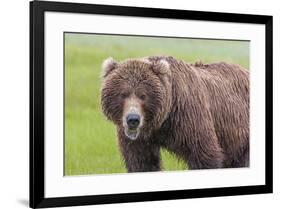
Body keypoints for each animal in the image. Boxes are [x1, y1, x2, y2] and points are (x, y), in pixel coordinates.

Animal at [100, 55, 247, 171]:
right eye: (123, 94)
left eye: (143, 95)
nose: (133, 119)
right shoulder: (139, 140)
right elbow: (141, 162)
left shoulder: (189, 117)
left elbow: (204, 154)